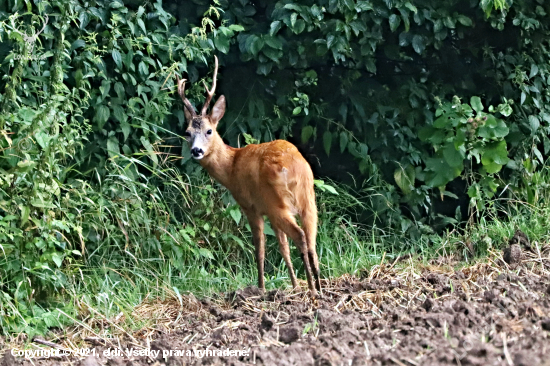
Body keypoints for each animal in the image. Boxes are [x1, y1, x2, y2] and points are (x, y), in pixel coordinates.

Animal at [177, 55, 324, 296]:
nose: (196, 151)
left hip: (276, 202)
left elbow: (260, 249)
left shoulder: (251, 206)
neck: (232, 166)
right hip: (307, 199)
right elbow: (283, 248)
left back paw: (311, 289)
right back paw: (319, 287)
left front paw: (261, 288)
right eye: (188, 132)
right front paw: (293, 285)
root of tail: (293, 167)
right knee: (311, 238)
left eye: (209, 131)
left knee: (300, 236)